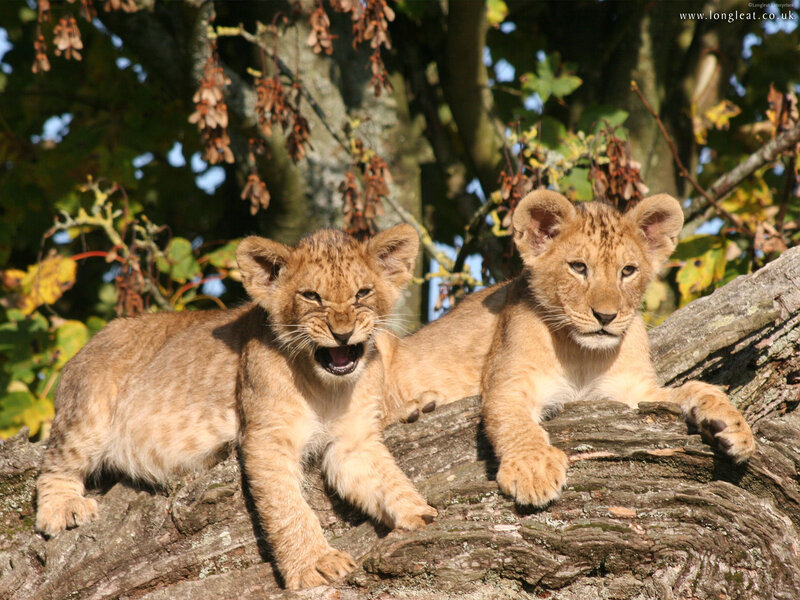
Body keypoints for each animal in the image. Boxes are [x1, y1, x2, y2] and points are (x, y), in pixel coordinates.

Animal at [35, 226, 437, 589]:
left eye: (362, 292)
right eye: (311, 296)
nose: (342, 334)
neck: (328, 387)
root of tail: (88, 345)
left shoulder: (354, 442)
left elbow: (387, 476)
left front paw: (421, 513)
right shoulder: (265, 439)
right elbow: (288, 508)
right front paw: (315, 564)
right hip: (89, 412)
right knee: (55, 465)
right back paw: (63, 508)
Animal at [380, 190, 755, 507]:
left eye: (628, 271)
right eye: (578, 267)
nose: (606, 316)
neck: (582, 354)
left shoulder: (632, 393)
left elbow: (692, 388)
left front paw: (732, 425)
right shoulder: (508, 383)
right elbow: (516, 423)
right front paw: (533, 470)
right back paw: (416, 407)